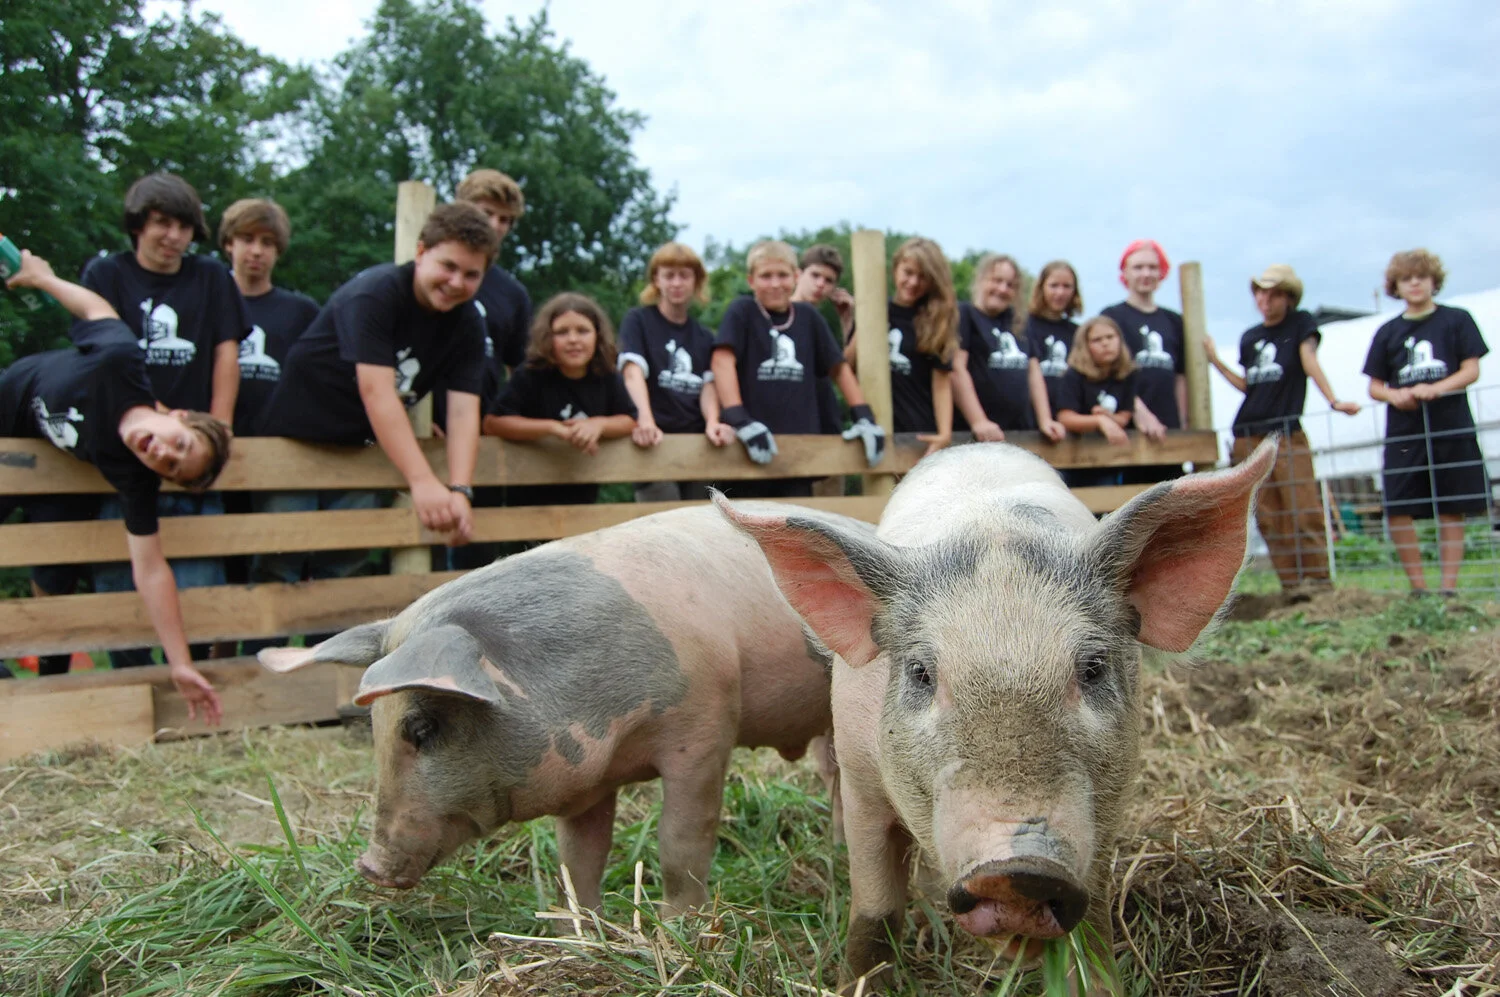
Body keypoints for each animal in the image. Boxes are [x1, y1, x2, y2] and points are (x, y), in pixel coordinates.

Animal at [258, 504, 852, 914]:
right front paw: (579, 932)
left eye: (422, 728)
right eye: (375, 731)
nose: (369, 865)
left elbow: (681, 840)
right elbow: (578, 859)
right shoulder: (585, 782)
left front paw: (675, 929)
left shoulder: (705, 725)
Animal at [718, 438, 1276, 990]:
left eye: (1093, 668)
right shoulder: (859, 778)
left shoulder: (1112, 797)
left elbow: (1093, 924)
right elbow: (875, 910)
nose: (1018, 870)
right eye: (921, 673)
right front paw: (859, 981)